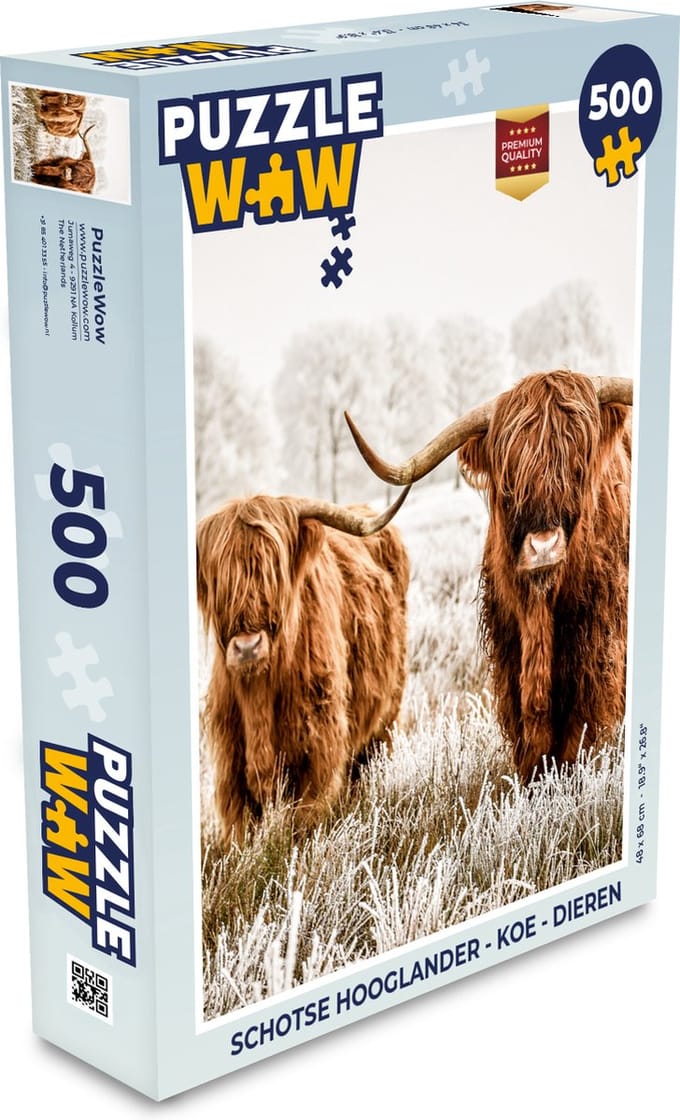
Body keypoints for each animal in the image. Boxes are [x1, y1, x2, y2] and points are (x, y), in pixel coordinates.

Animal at [197, 492, 410, 843]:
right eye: (219, 579)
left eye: (275, 570)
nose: (247, 647)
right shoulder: (230, 769)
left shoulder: (320, 752)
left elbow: (304, 825)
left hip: (386, 719)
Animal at [345, 370, 633, 779]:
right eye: (510, 478)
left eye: (577, 466)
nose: (543, 546)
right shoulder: (509, 648)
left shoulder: (596, 646)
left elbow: (580, 729)